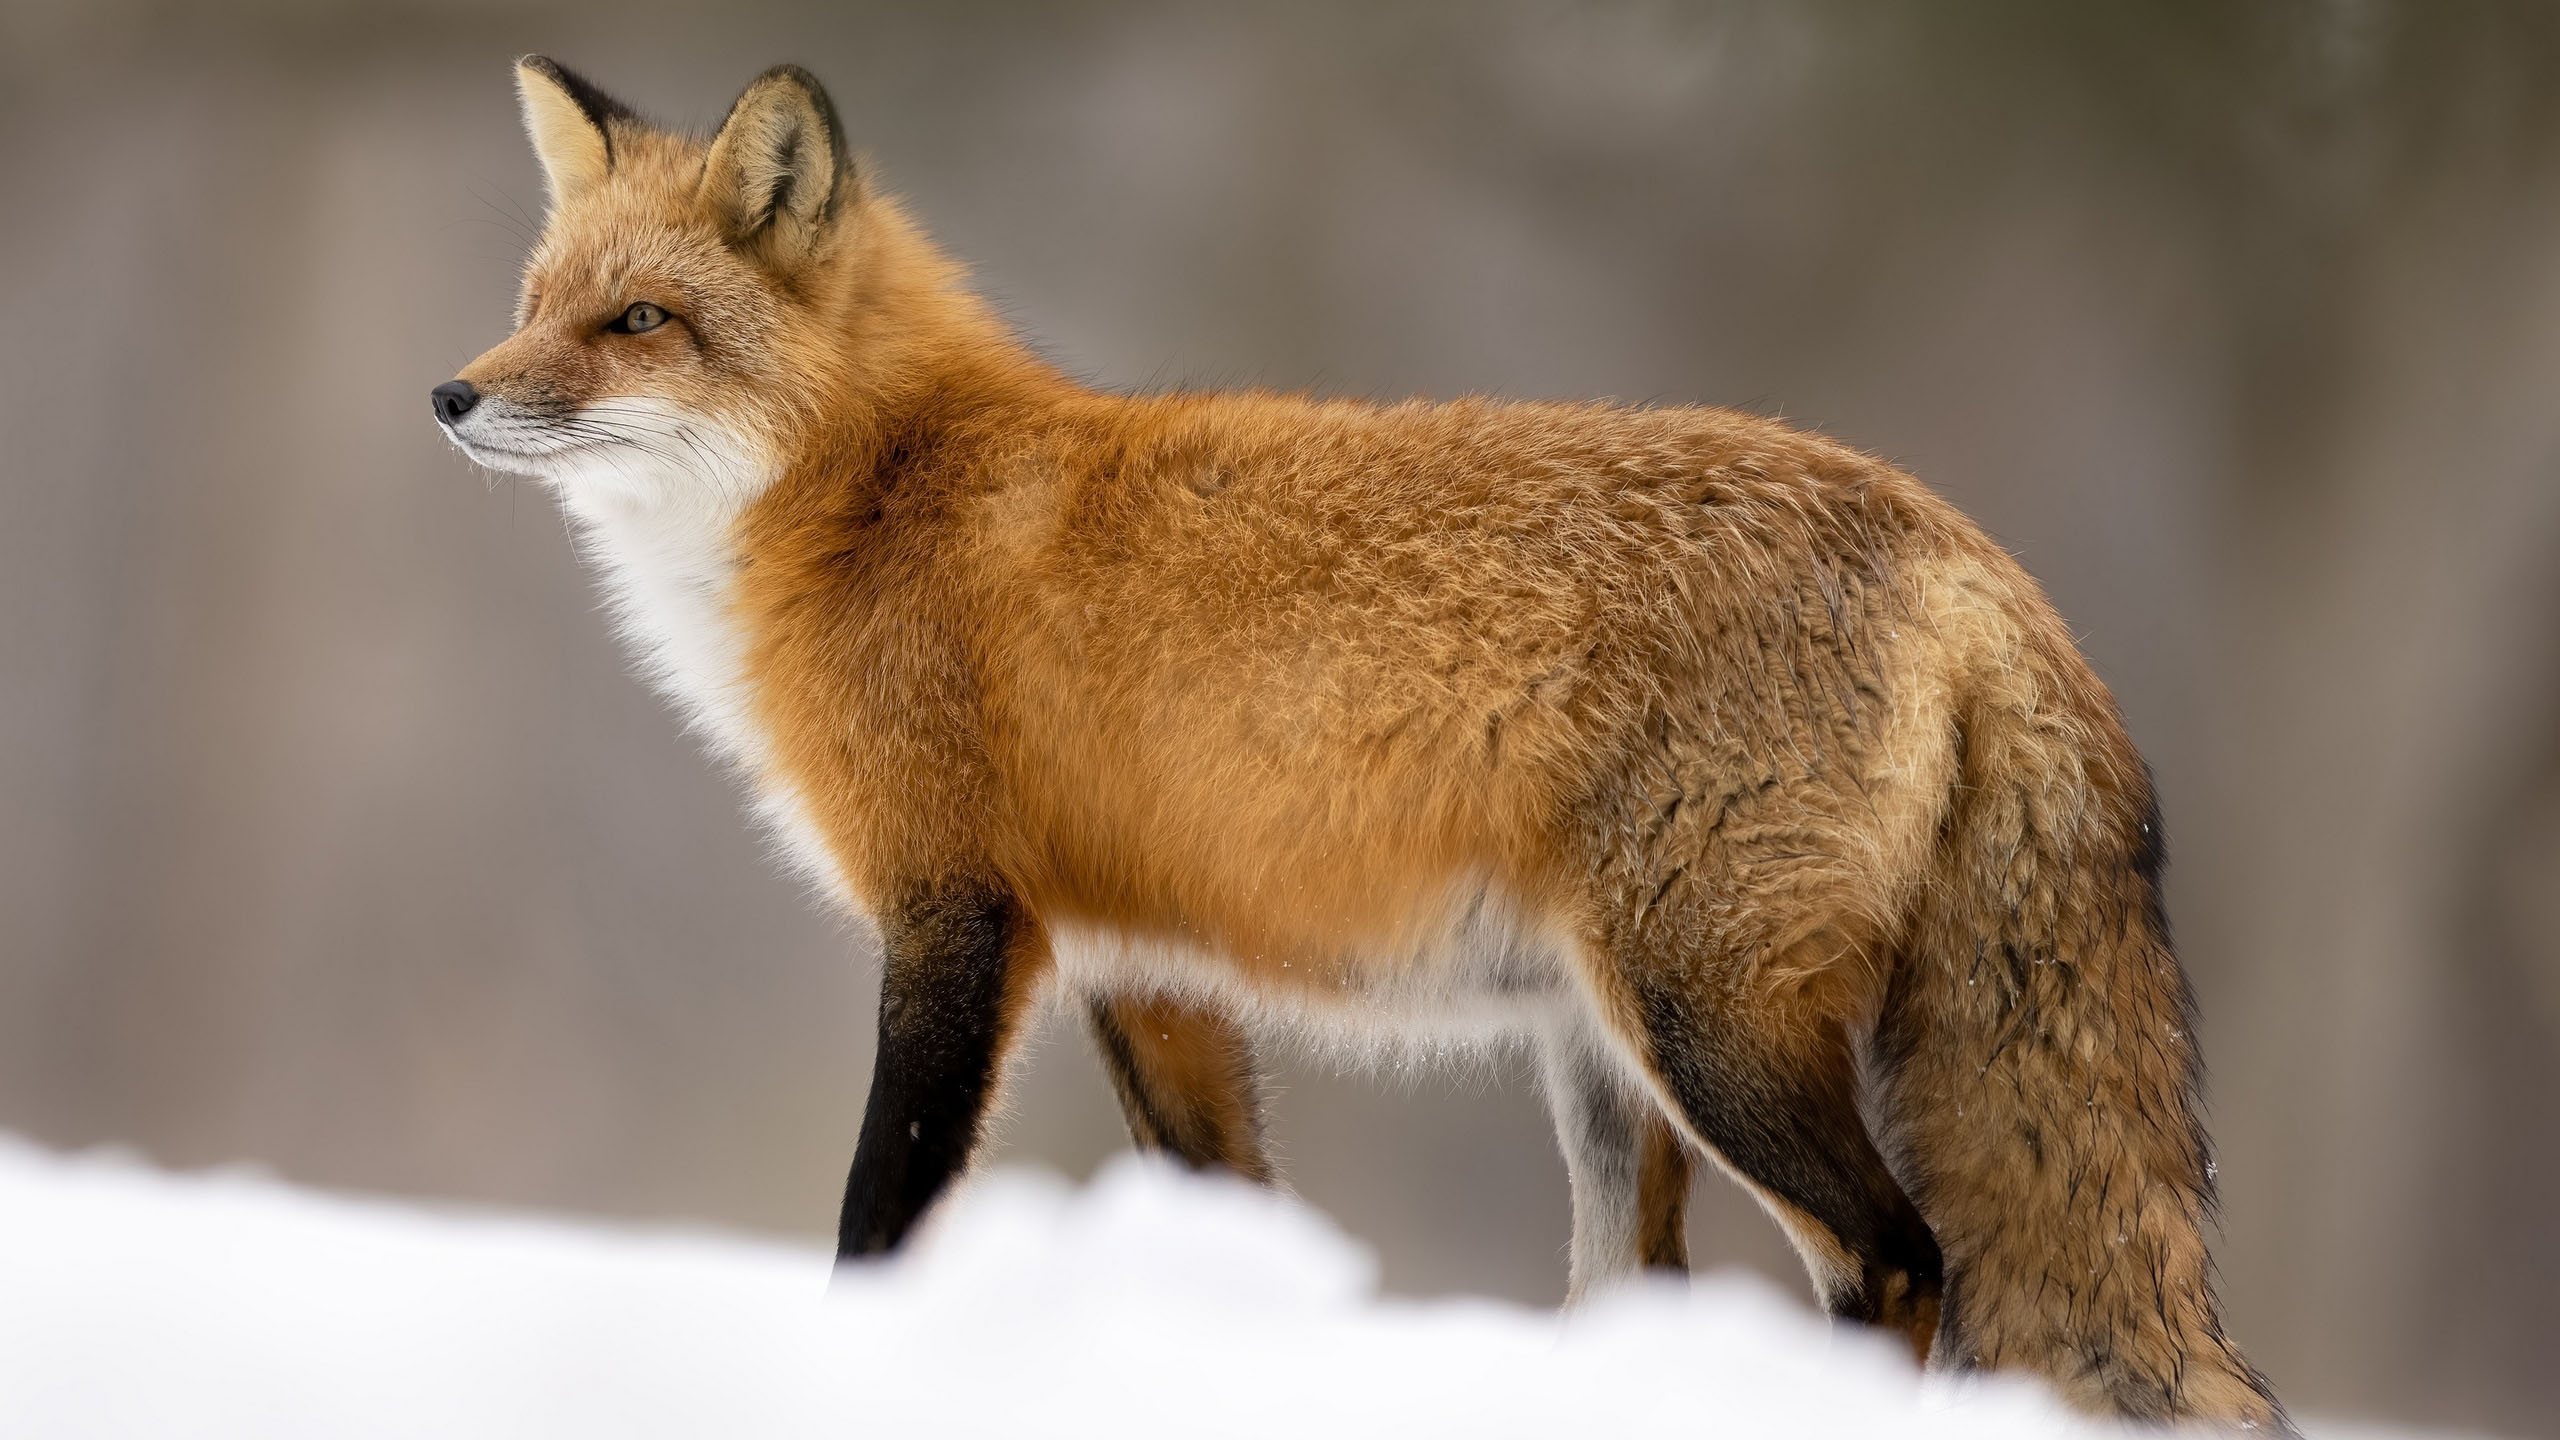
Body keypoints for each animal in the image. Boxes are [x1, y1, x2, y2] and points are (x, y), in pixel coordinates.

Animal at [430, 58, 2293, 1424]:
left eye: (637, 323)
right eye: (534, 299)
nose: (451, 396)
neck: (883, 494)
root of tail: (1962, 544)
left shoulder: (951, 919)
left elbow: (877, 1214)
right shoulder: (1141, 969)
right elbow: (1234, 1212)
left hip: (1705, 1030)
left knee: (1903, 1261)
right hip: (1607, 1063)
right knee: (1660, 1290)